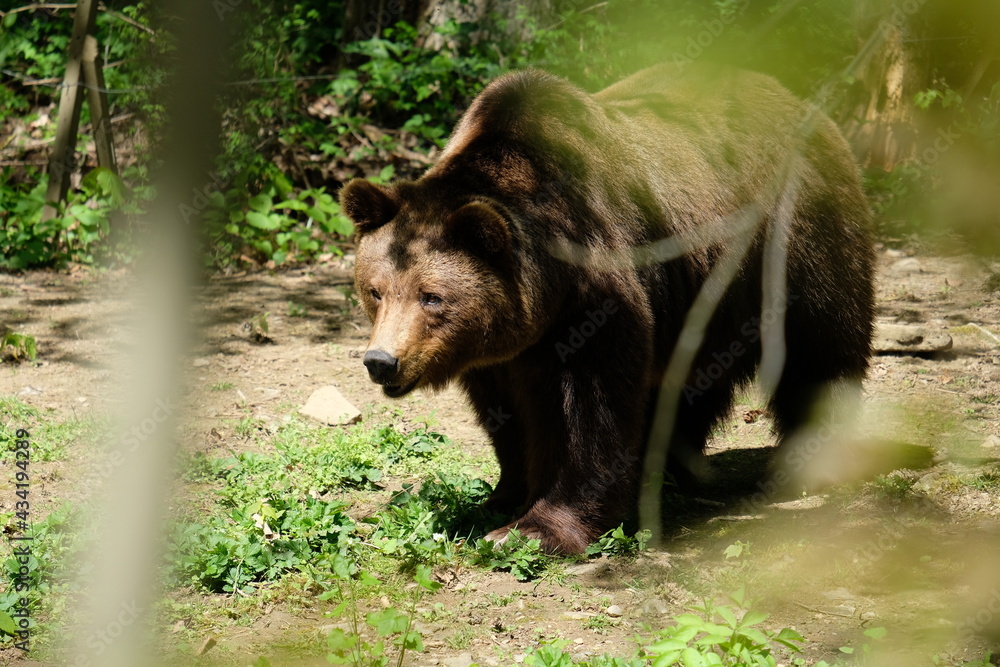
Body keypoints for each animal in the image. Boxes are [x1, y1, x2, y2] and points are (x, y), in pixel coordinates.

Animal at [340, 64, 875, 554]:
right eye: (376, 290)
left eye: (431, 296)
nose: (381, 361)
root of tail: (802, 105)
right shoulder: (497, 351)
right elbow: (507, 414)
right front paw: (500, 498)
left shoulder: (595, 296)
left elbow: (595, 408)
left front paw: (537, 528)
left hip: (794, 238)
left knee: (819, 348)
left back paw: (811, 462)